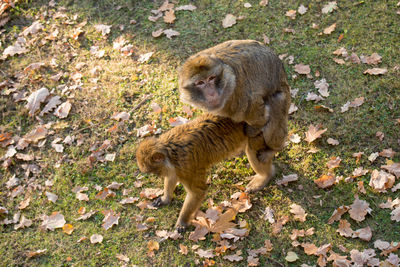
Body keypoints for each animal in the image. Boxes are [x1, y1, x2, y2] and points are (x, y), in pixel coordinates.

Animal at [136, 114, 270, 231]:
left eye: (155, 171)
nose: (159, 176)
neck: (171, 151)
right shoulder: (176, 168)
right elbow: (172, 177)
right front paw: (165, 199)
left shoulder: (186, 165)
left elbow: (197, 192)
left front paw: (182, 222)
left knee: (252, 150)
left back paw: (265, 177)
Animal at [179, 39, 290, 193]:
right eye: (200, 83)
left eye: (211, 78)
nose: (211, 93)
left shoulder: (239, 92)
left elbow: (257, 112)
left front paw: (254, 128)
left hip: (283, 101)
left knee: (275, 101)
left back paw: (273, 152)